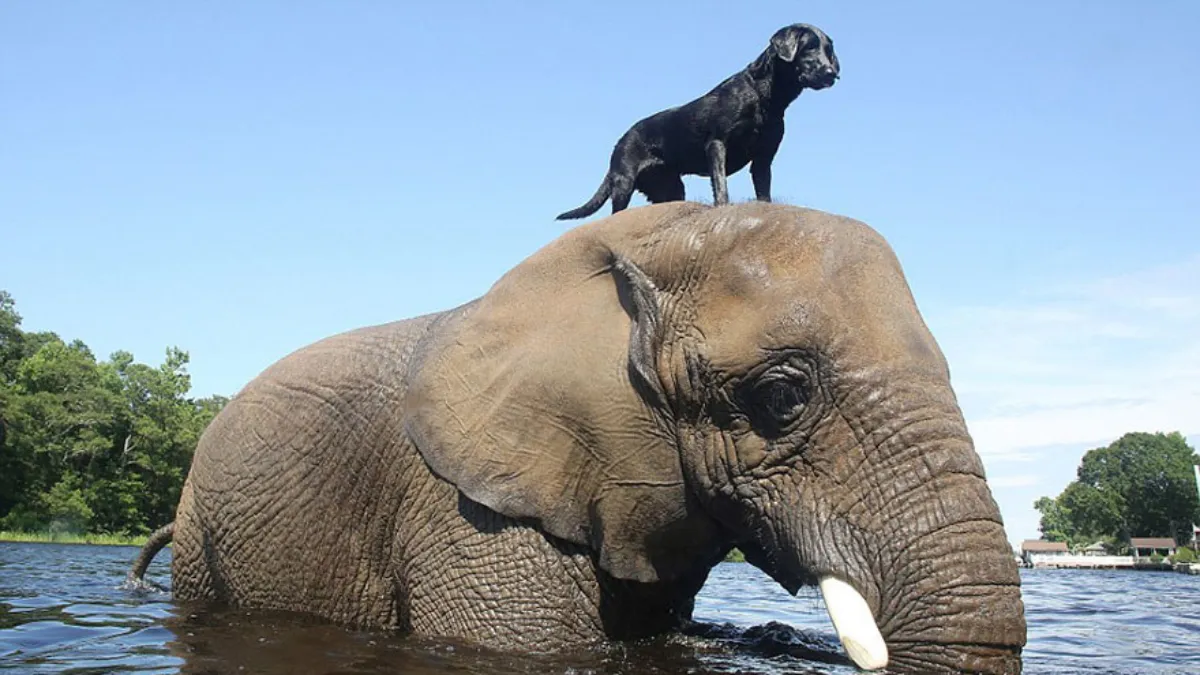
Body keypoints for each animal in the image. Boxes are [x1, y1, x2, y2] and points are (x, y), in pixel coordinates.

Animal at [556, 22, 840, 218]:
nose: (831, 73)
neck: (763, 95)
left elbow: (764, 191)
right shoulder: (717, 144)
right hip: (623, 183)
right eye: (809, 47)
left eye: (828, 50)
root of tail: (620, 140)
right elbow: (721, 184)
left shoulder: (763, 158)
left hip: (671, 188)